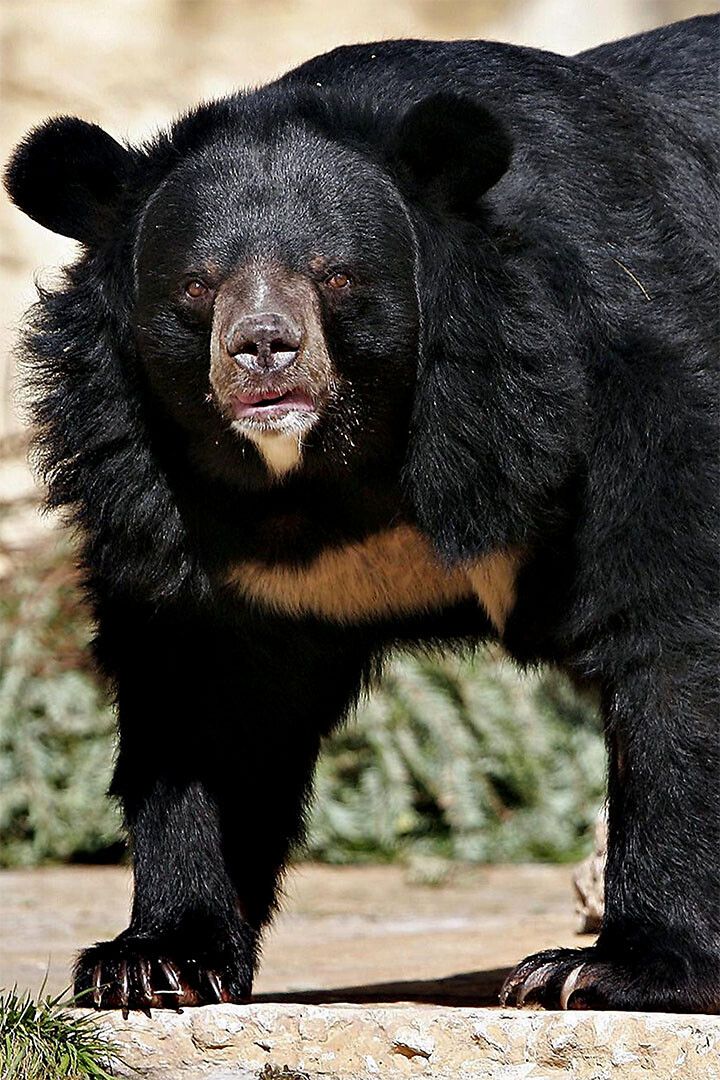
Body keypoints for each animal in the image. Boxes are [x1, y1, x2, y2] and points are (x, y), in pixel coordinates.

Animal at [4, 13, 718, 1014]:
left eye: (334, 276)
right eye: (197, 285)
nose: (264, 348)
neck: (327, 474)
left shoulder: (632, 380)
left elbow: (670, 630)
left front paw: (603, 970)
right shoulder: (170, 500)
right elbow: (205, 694)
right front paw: (152, 960)